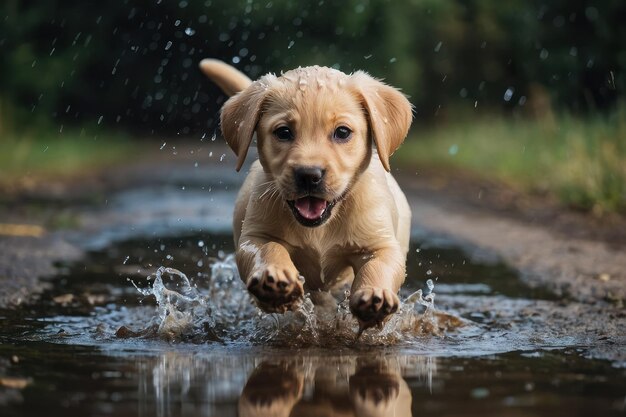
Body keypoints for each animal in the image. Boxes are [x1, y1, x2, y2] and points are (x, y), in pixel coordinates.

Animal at [200, 59, 412, 332]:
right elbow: (268, 248)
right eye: (283, 132)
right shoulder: (254, 236)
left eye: (342, 132)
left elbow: (379, 266)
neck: (320, 228)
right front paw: (273, 281)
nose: (309, 175)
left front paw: (376, 297)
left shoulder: (380, 244)